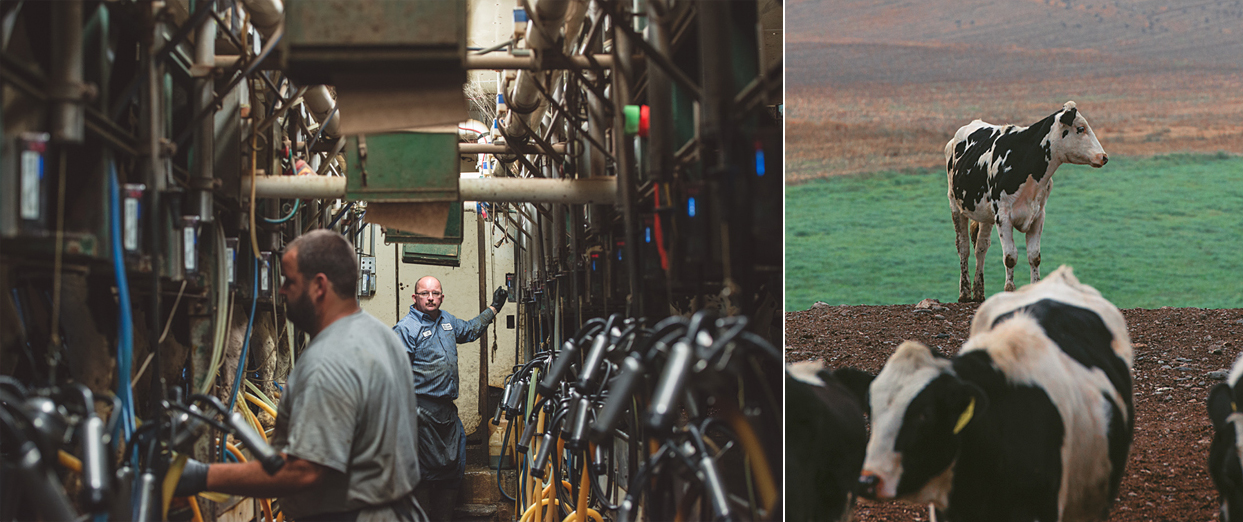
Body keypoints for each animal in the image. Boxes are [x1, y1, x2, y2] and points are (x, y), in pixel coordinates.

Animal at [944, 100, 1113, 302]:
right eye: (1080, 128)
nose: (1103, 157)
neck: (1025, 162)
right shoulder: (1003, 216)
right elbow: (1010, 257)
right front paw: (1010, 290)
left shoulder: (1038, 216)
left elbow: (1034, 257)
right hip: (956, 205)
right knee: (963, 247)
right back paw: (964, 292)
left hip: (985, 215)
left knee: (981, 247)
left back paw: (978, 292)